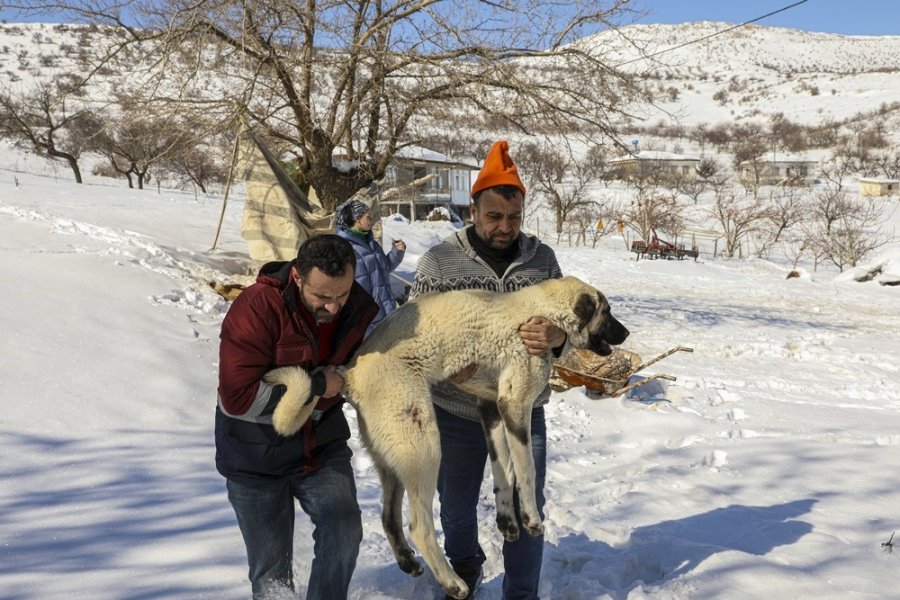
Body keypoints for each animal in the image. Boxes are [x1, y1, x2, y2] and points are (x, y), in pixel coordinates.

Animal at [270, 276, 628, 600]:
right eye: (607, 311)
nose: (625, 333)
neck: (543, 311)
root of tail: (351, 373)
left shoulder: (491, 409)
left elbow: (503, 470)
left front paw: (508, 522)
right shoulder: (514, 406)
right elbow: (526, 470)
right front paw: (531, 519)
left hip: (393, 458)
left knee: (389, 518)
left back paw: (409, 563)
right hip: (423, 447)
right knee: (420, 526)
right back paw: (452, 582)